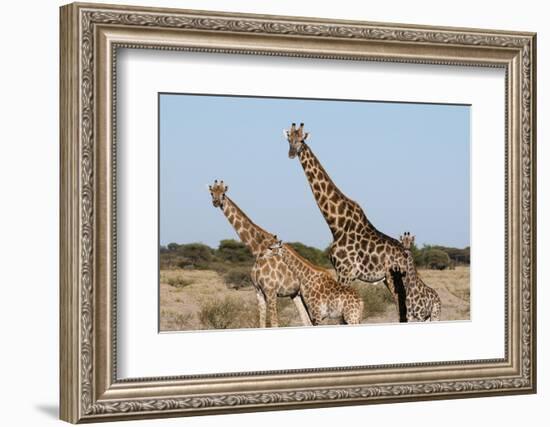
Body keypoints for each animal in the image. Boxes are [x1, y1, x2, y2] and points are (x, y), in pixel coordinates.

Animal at [209, 181, 312, 328]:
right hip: (296, 295)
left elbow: (274, 324)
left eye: (223, 193)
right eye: (212, 193)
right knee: (307, 321)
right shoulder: (258, 292)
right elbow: (261, 323)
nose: (216, 202)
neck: (258, 251)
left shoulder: (271, 291)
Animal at [284, 122, 418, 322]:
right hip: (389, 280)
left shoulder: (345, 272)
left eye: (301, 140)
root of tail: (409, 255)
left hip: (396, 280)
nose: (292, 153)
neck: (336, 224)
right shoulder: (340, 272)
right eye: (289, 140)